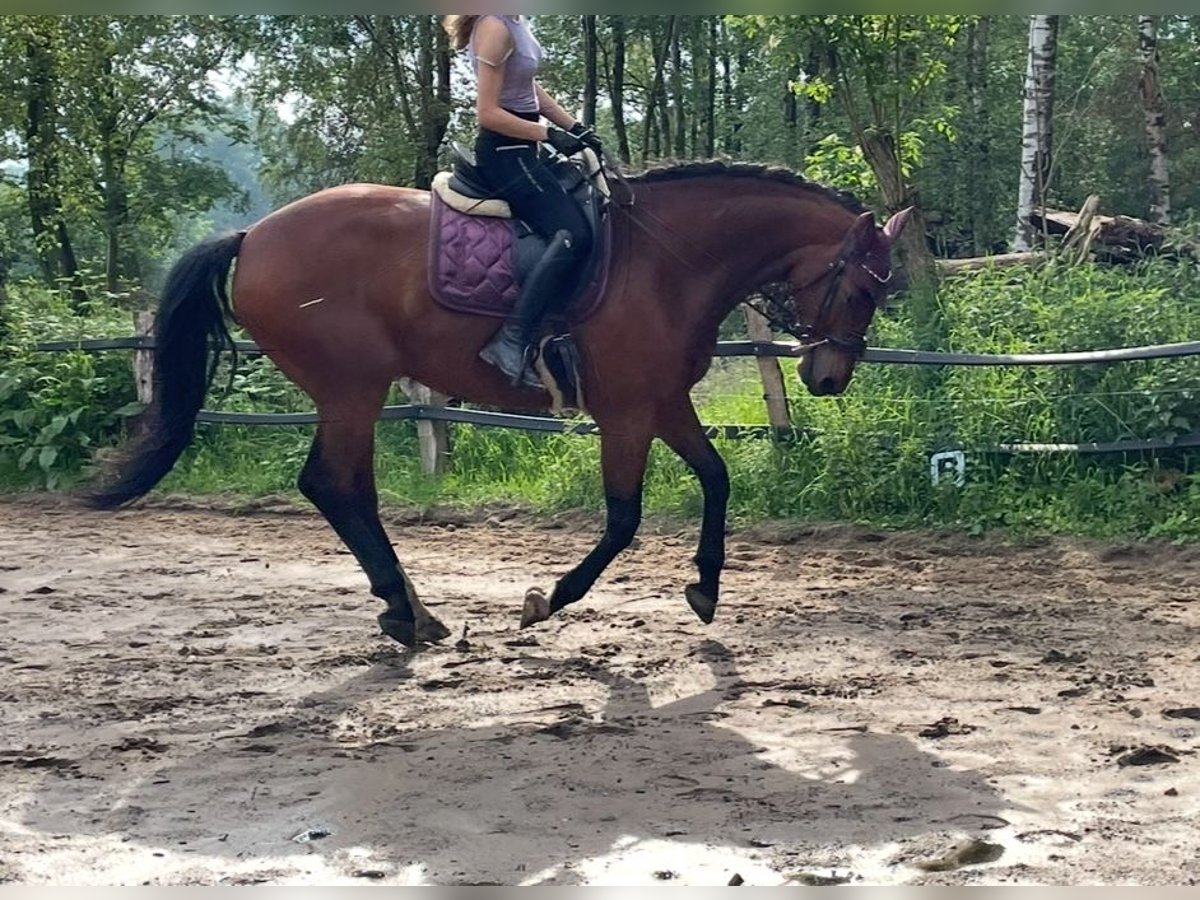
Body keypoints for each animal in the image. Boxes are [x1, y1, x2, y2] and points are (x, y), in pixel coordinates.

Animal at [88, 160, 907, 648]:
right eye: (864, 289)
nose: (829, 378)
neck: (668, 262)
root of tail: (254, 234)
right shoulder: (626, 414)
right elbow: (623, 519)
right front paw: (549, 599)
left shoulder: (664, 401)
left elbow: (716, 478)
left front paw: (704, 587)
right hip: (353, 387)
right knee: (332, 485)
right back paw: (406, 612)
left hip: (352, 393)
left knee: (344, 490)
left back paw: (410, 610)